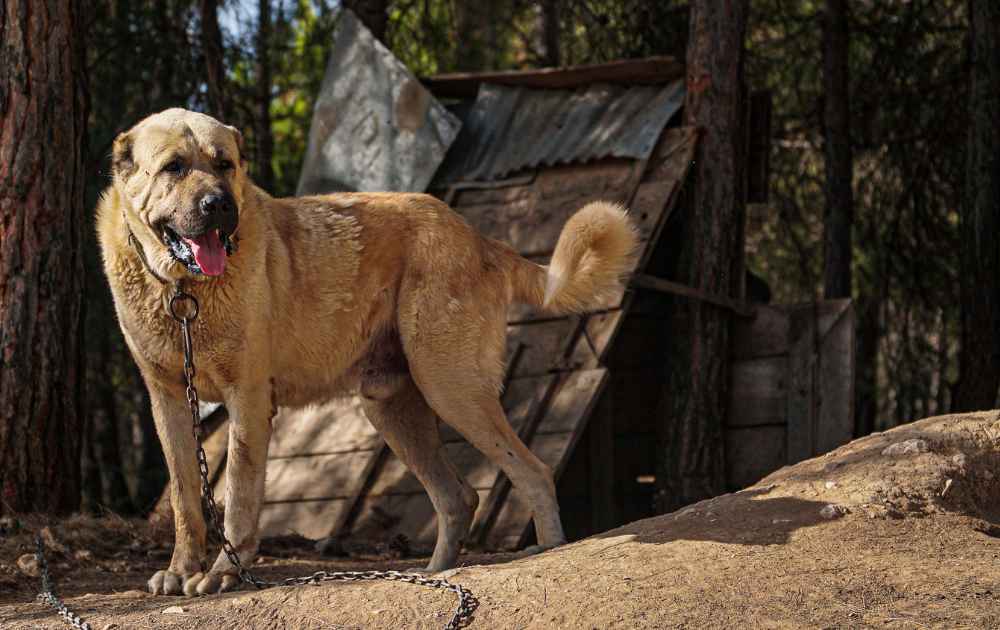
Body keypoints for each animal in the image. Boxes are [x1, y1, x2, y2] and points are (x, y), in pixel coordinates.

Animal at [97, 108, 636, 596]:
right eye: (173, 167)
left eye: (224, 163)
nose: (219, 205)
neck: (182, 291)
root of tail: (478, 236)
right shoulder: (168, 402)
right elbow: (186, 500)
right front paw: (182, 570)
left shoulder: (246, 399)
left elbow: (239, 497)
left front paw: (225, 573)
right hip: (392, 408)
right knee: (459, 496)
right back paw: (436, 573)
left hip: (450, 387)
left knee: (533, 472)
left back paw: (549, 549)